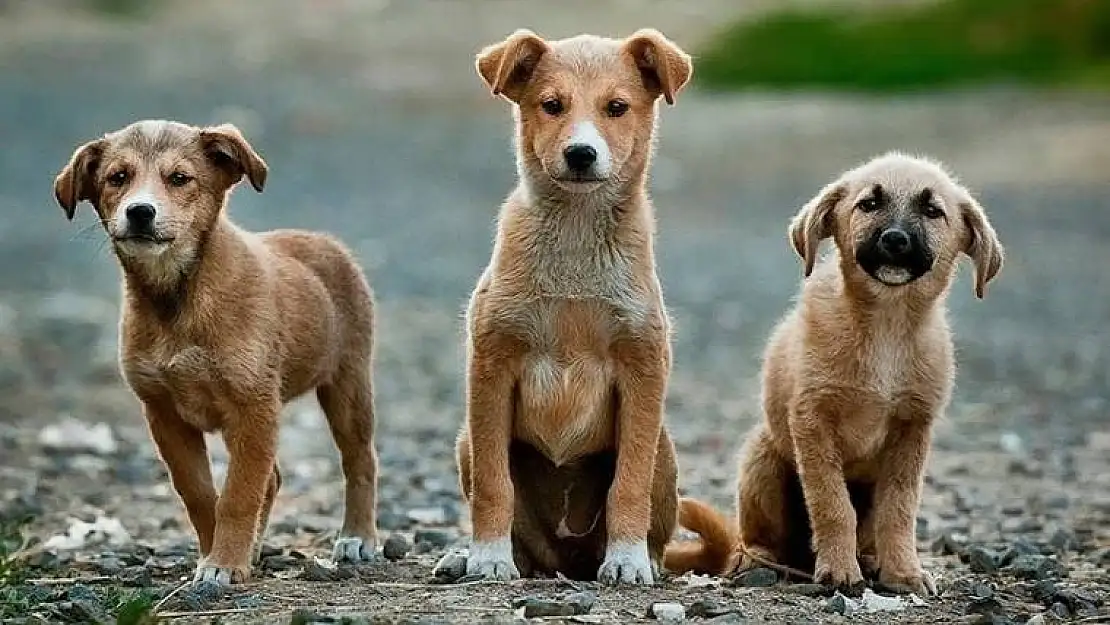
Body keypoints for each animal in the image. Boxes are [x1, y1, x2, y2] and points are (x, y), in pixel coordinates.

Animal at [53, 119, 381, 586]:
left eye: (179, 178)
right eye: (118, 178)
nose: (140, 212)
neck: (178, 298)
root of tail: (324, 241)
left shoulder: (253, 407)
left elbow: (239, 494)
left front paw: (224, 563)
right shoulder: (164, 414)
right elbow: (201, 494)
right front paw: (217, 555)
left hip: (348, 384)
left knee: (359, 460)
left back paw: (357, 537)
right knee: (273, 478)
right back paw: (256, 548)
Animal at [444, 28, 688, 586]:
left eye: (616, 108)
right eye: (551, 105)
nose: (580, 154)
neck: (576, 239)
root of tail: (567, 561)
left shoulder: (643, 368)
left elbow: (629, 484)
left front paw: (627, 559)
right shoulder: (491, 366)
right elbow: (493, 484)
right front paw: (487, 556)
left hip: (665, 449)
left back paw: (644, 559)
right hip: (466, 440)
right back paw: (469, 557)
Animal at [661, 153, 1012, 595]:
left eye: (933, 211)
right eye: (869, 204)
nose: (895, 239)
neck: (886, 325)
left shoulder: (912, 430)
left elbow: (899, 510)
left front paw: (903, 572)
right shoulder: (813, 421)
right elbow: (832, 505)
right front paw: (840, 571)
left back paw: (870, 559)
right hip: (762, 458)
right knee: (756, 538)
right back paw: (758, 561)